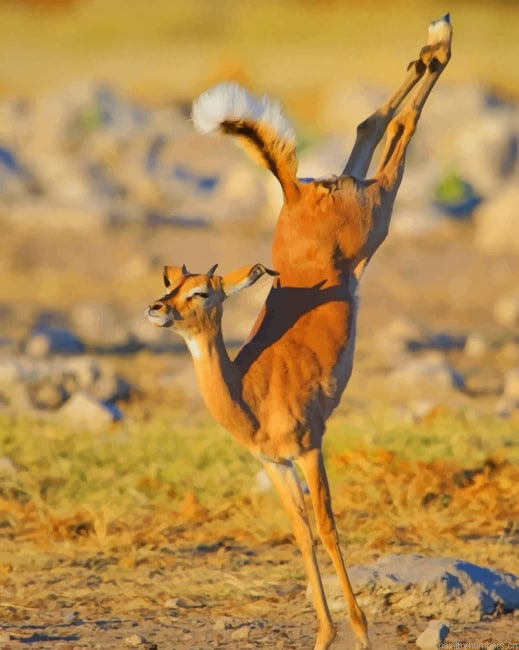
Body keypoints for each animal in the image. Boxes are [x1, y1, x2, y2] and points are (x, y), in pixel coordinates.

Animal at [146, 15, 452, 650]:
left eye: (201, 291)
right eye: (170, 282)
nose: (155, 309)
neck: (252, 398)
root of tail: (291, 191)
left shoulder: (311, 447)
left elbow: (329, 526)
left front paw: (358, 628)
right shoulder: (275, 465)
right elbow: (302, 532)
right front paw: (325, 632)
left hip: (379, 212)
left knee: (402, 130)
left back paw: (440, 41)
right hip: (362, 197)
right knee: (371, 125)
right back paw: (431, 44)